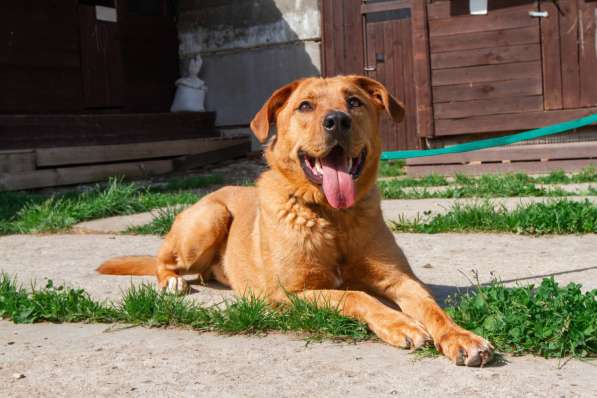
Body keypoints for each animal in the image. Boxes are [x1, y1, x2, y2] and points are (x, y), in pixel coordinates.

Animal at [98, 75, 492, 366]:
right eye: (306, 105)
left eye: (354, 102)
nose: (337, 120)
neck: (331, 216)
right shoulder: (291, 293)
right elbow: (356, 296)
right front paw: (399, 323)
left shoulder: (400, 279)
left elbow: (431, 308)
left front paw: (460, 336)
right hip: (211, 217)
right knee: (163, 262)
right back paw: (173, 282)